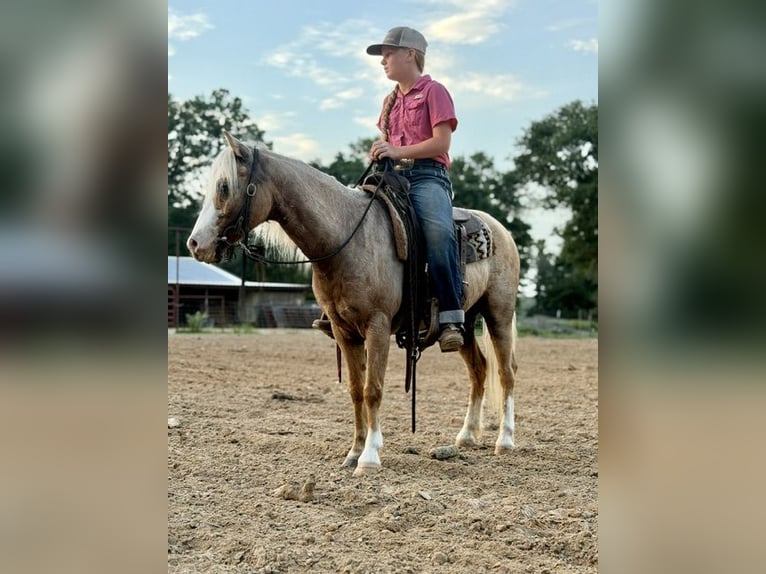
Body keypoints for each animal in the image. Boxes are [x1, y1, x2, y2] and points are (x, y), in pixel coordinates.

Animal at [187, 132, 520, 476]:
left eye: (224, 187)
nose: (196, 244)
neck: (346, 238)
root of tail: (501, 230)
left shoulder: (377, 325)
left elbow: (373, 389)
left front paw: (370, 456)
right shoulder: (343, 330)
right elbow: (355, 390)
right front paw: (354, 451)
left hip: (498, 314)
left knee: (506, 372)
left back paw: (505, 440)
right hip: (465, 322)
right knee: (479, 370)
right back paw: (466, 436)